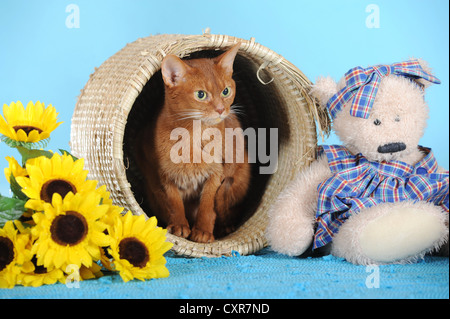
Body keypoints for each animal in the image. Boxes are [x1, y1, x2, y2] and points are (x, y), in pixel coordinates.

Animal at [135, 43, 251, 244]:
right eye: (201, 94)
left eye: (226, 91)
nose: (221, 109)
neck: (193, 136)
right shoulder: (164, 175)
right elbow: (174, 203)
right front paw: (179, 226)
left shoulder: (216, 173)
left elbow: (207, 204)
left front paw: (203, 231)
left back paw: (225, 227)